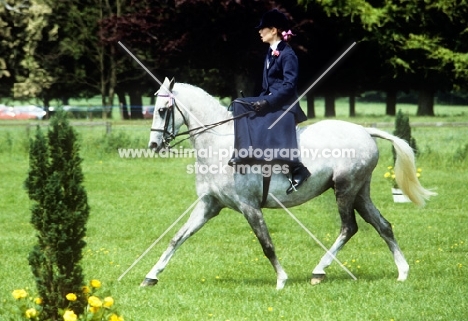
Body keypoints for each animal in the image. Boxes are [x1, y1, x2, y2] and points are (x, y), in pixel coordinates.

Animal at [140, 76, 436, 288]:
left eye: (163, 110)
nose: (154, 145)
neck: (220, 145)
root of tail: (365, 131)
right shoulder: (209, 205)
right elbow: (177, 238)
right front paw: (151, 276)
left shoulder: (249, 207)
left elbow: (266, 244)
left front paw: (281, 280)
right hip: (360, 192)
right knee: (383, 225)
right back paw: (402, 272)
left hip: (345, 189)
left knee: (348, 227)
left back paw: (319, 271)